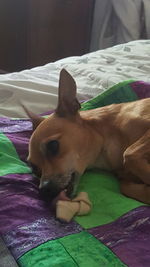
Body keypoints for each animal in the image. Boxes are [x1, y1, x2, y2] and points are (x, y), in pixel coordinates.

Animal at [26, 69, 150, 205]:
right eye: (34, 169)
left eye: (53, 145)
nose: (43, 190)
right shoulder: (124, 177)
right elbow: (124, 186)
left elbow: (129, 153)